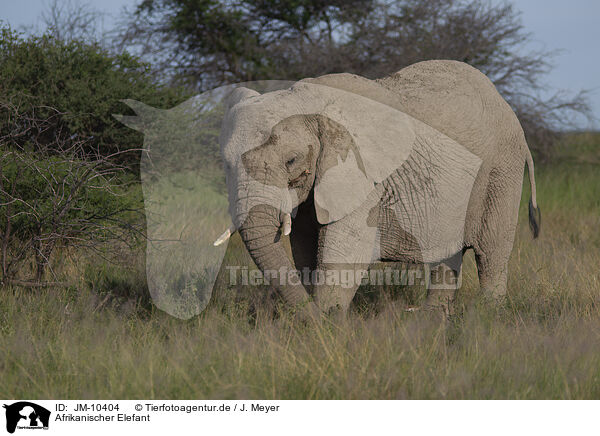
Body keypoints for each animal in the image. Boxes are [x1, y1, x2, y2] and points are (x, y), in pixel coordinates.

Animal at [214, 60, 540, 316]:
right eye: (225, 164)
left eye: (292, 161)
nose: (311, 316)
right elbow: (304, 249)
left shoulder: (364, 177)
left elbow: (344, 255)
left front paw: (326, 325)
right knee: (446, 252)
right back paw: (432, 321)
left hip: (501, 171)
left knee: (491, 254)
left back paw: (486, 319)